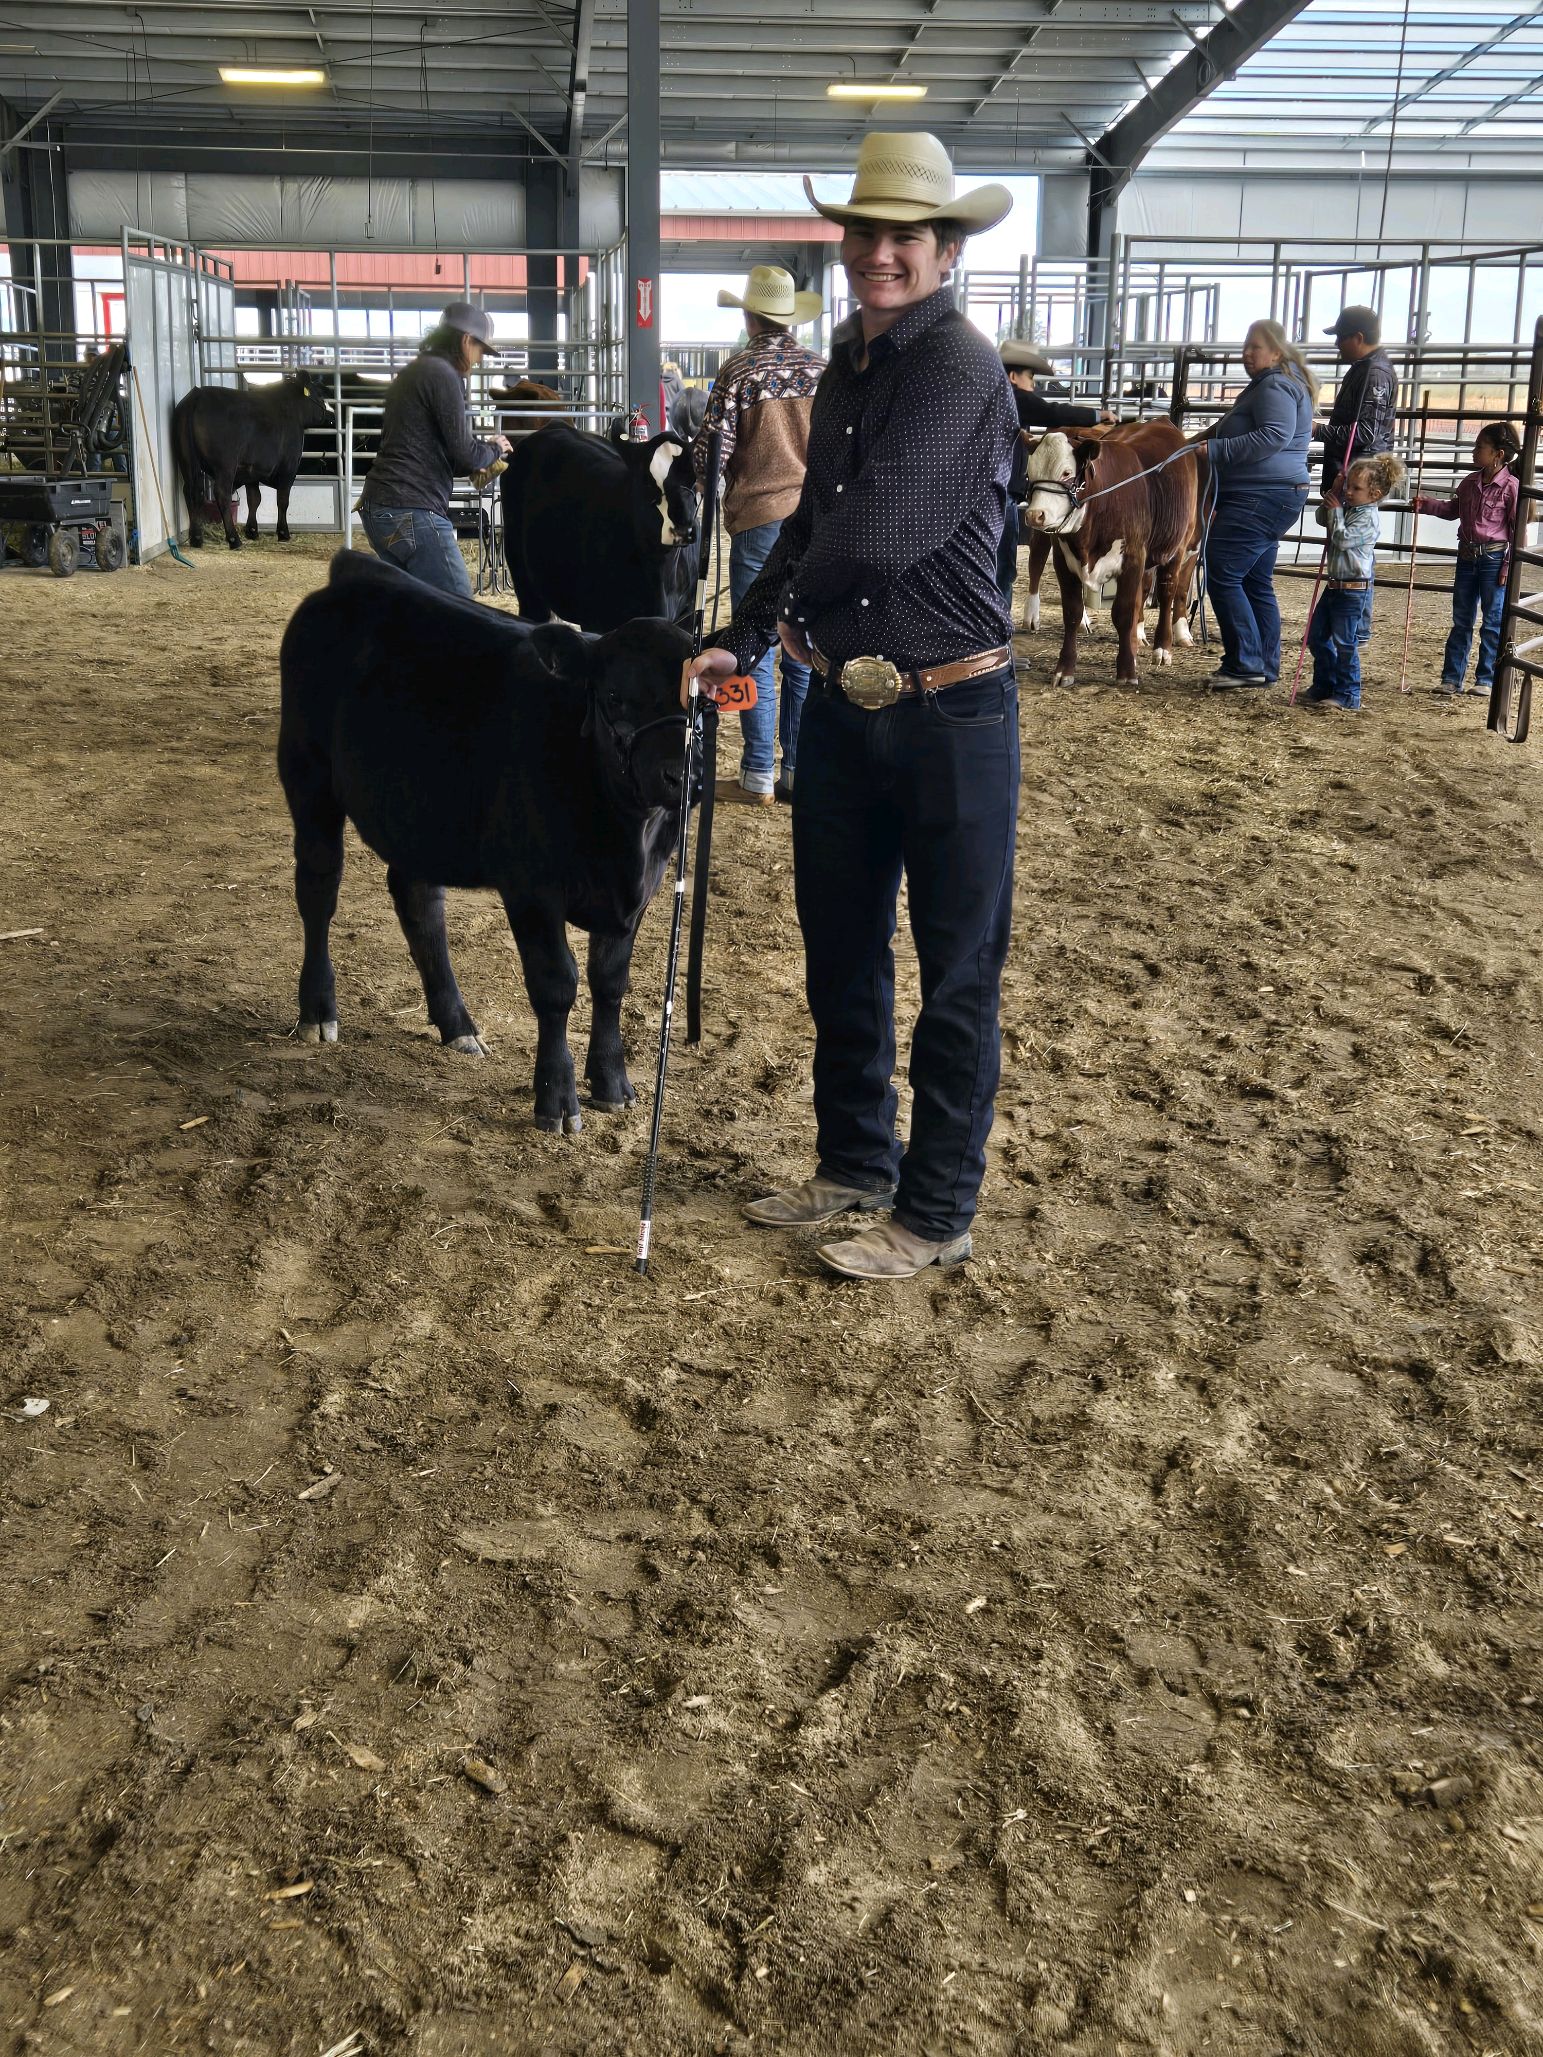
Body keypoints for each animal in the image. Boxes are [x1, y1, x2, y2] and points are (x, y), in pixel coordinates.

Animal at [172, 372, 332, 548]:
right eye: (319, 394)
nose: (332, 414)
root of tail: (197, 395)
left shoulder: (252, 472)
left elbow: (254, 499)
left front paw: (252, 531)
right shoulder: (289, 467)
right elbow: (283, 500)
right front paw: (283, 533)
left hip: (186, 459)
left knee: (191, 491)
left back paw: (196, 538)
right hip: (225, 464)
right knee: (221, 493)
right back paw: (234, 539)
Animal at [277, 550, 695, 1135]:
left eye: (701, 697)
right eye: (614, 696)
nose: (678, 775)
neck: (623, 842)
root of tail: (356, 571)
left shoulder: (640, 892)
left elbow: (610, 981)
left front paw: (612, 1083)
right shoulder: (532, 888)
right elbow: (556, 984)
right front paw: (557, 1099)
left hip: (417, 810)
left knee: (418, 901)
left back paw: (456, 1024)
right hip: (307, 772)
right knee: (318, 887)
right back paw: (318, 1010)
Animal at [501, 421, 698, 634]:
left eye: (693, 479)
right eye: (647, 481)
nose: (683, 529)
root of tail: (554, 426)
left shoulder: (688, 616)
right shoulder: (596, 620)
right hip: (523, 579)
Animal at [1022, 420, 1204, 688]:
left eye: (1066, 472)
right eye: (1030, 473)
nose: (1035, 515)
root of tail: (1161, 421)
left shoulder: (1132, 558)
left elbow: (1124, 613)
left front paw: (1127, 671)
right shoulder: (1064, 562)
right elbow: (1072, 613)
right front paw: (1064, 670)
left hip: (1176, 547)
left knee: (1167, 592)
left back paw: (1163, 648)